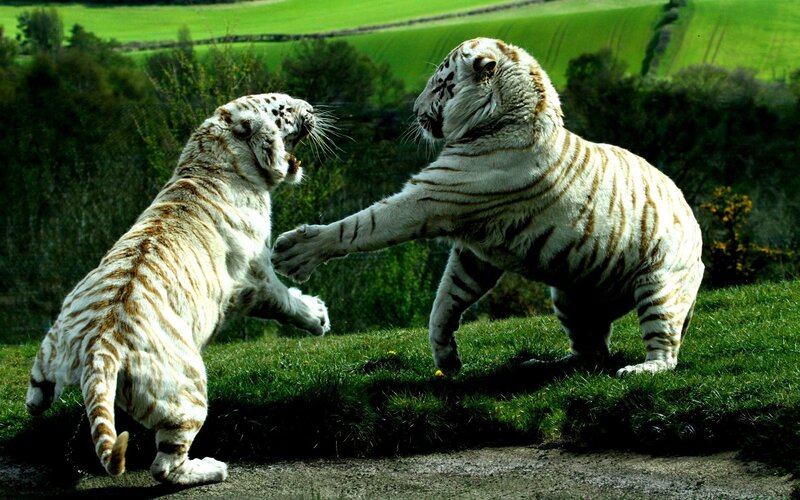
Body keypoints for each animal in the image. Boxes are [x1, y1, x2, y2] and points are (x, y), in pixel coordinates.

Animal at [25, 93, 333, 485]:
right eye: (284, 109)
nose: (310, 107)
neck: (209, 160)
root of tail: (100, 350)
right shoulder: (255, 277)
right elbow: (286, 301)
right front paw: (318, 316)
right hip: (187, 393)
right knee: (165, 465)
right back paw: (212, 468)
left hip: (50, 350)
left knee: (37, 392)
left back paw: (39, 402)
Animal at [272, 38, 704, 377]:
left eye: (441, 84)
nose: (413, 109)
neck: (503, 119)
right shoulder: (475, 252)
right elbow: (445, 301)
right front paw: (446, 358)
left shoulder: (430, 197)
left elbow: (364, 225)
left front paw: (296, 251)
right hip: (569, 297)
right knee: (590, 352)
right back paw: (541, 364)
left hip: (659, 285)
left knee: (664, 349)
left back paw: (640, 369)